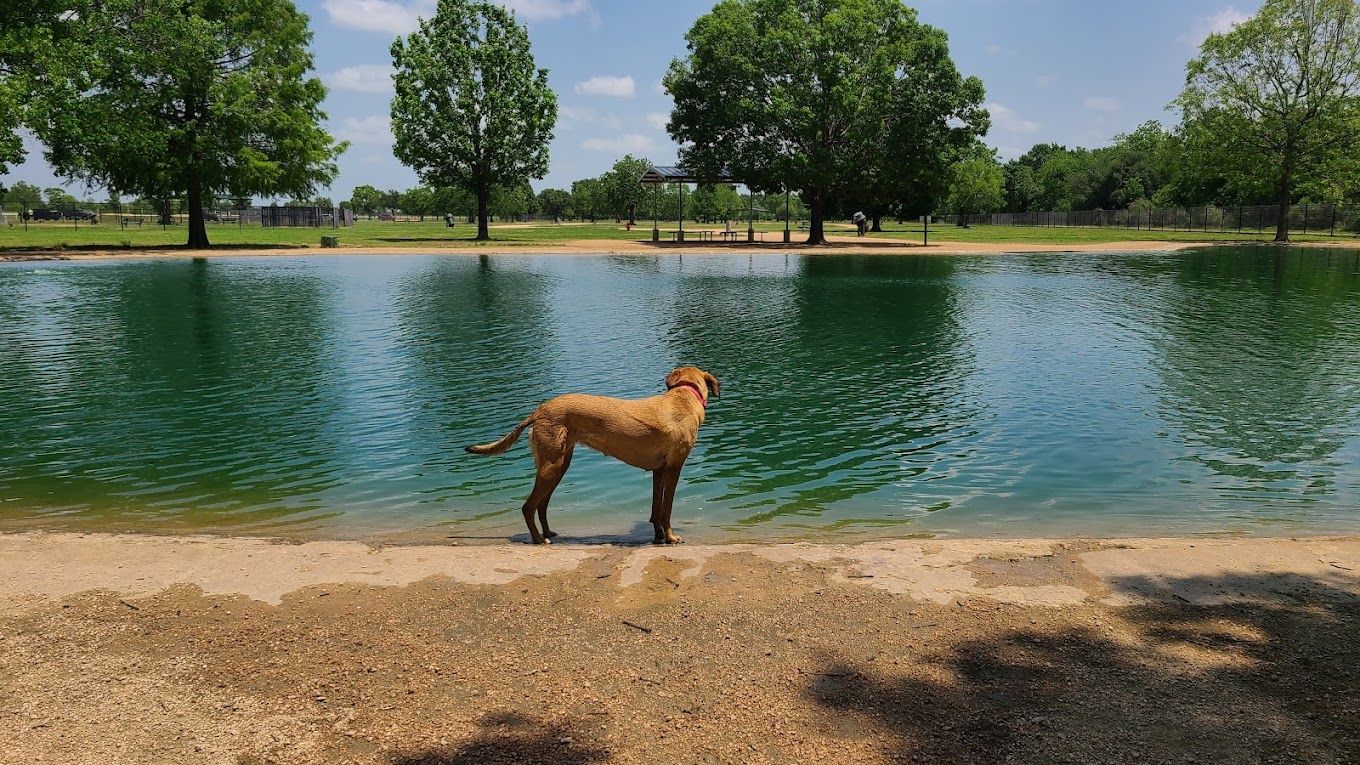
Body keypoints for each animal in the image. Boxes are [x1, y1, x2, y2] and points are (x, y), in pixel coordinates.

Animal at [467, 367, 718, 544]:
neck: (683, 396)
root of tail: (539, 410)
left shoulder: (658, 470)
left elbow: (656, 510)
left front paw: (658, 536)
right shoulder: (674, 468)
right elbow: (666, 510)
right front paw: (671, 537)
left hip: (558, 466)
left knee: (542, 505)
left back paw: (548, 533)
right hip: (552, 467)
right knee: (529, 506)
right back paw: (539, 539)